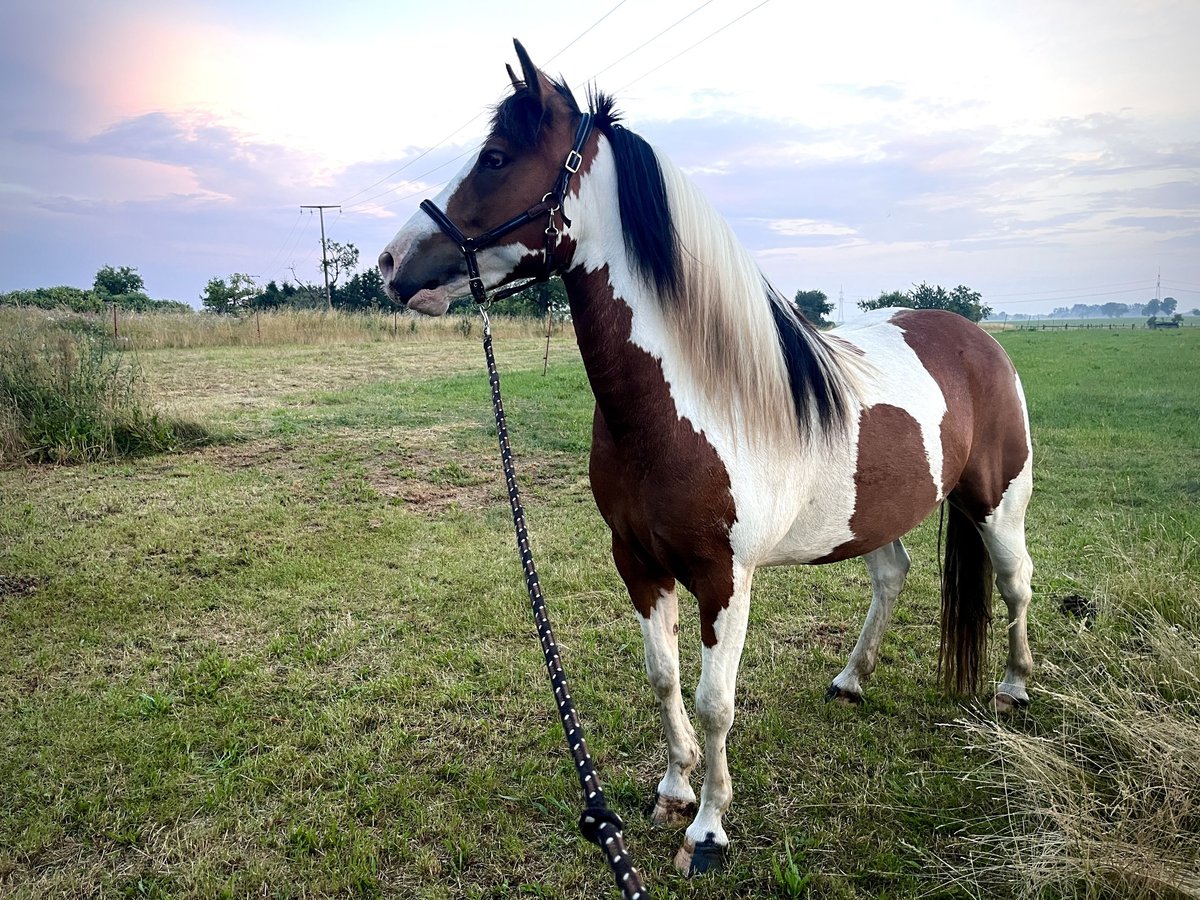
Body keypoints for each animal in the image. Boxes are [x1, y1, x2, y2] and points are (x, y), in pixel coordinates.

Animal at [379, 38, 1036, 878]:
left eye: (494, 158)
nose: (391, 262)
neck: (693, 405)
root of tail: (977, 337)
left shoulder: (726, 580)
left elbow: (714, 702)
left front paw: (709, 831)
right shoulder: (636, 562)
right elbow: (662, 679)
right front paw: (672, 790)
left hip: (998, 501)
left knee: (1016, 583)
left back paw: (1014, 689)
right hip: (876, 514)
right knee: (893, 577)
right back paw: (851, 680)